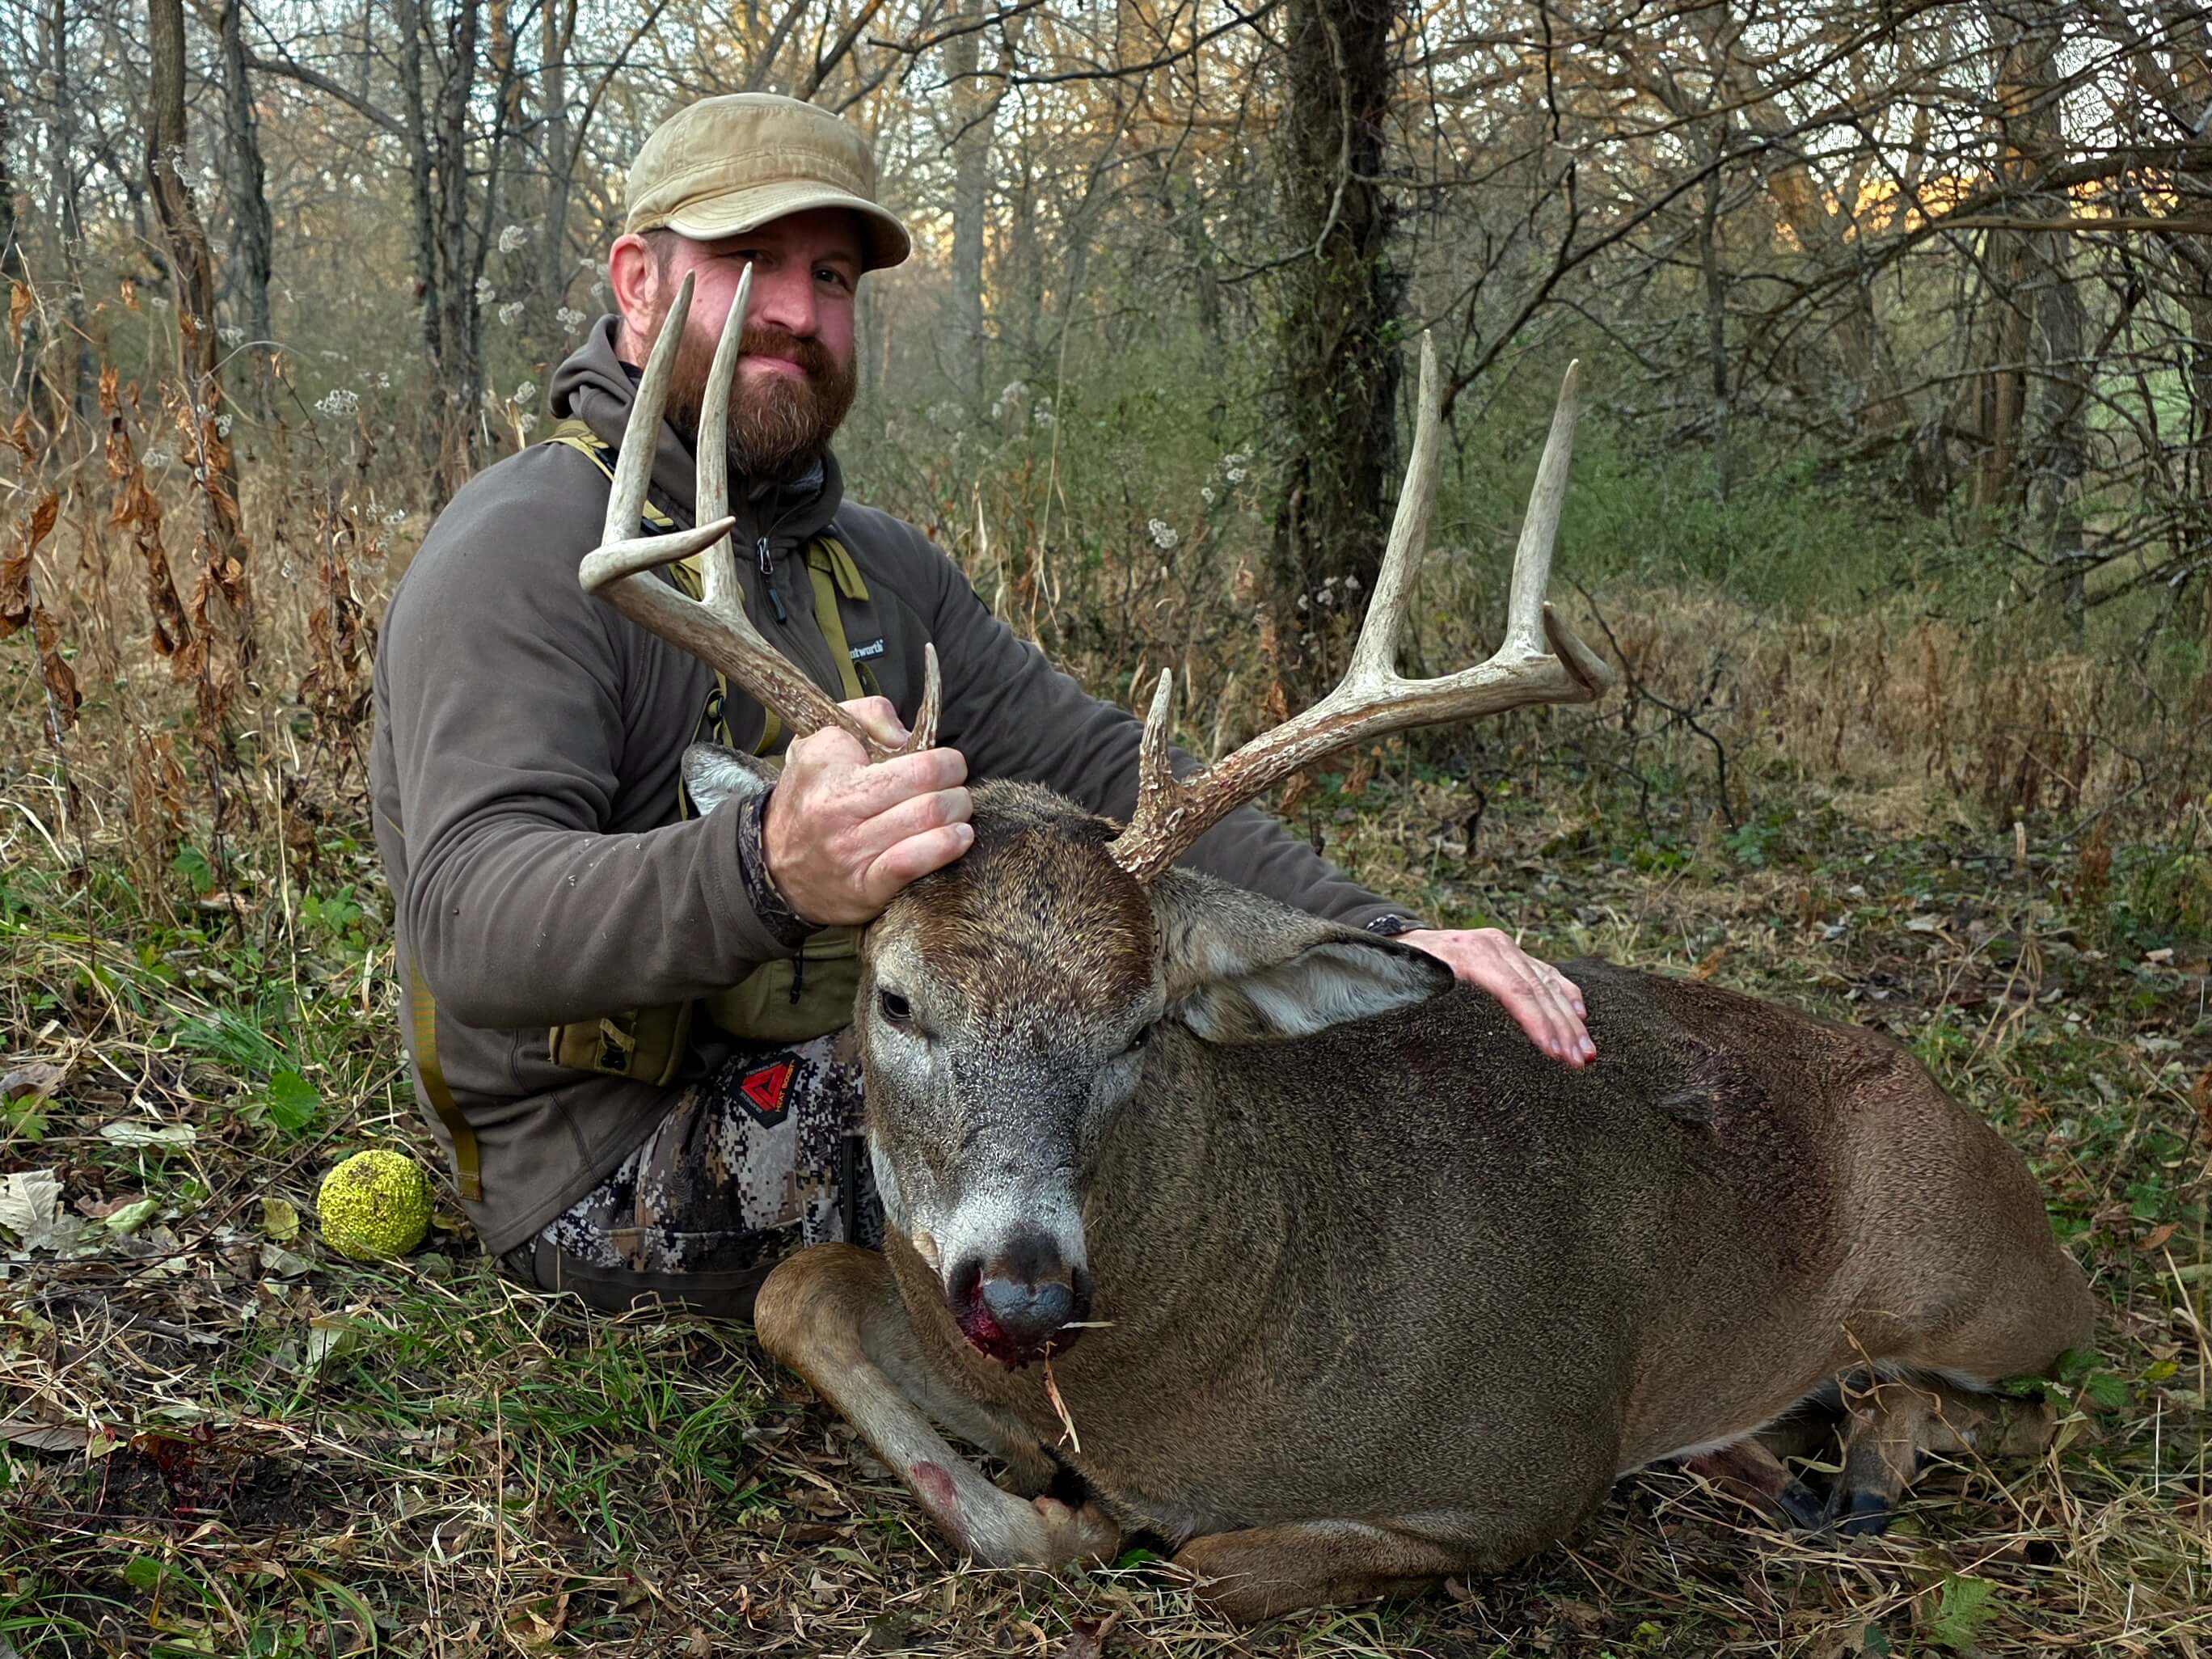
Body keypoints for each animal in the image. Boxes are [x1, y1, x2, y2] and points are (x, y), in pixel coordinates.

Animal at [579, 269, 2098, 1621]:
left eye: (1144, 1022)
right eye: (896, 1000)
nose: (1024, 1287)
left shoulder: (1526, 1469)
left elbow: (1208, 1558)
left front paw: (1094, 1512)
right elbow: (797, 1289)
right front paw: (1035, 1484)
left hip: (1977, 1293)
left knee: (2038, 1404)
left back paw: (1862, 1466)